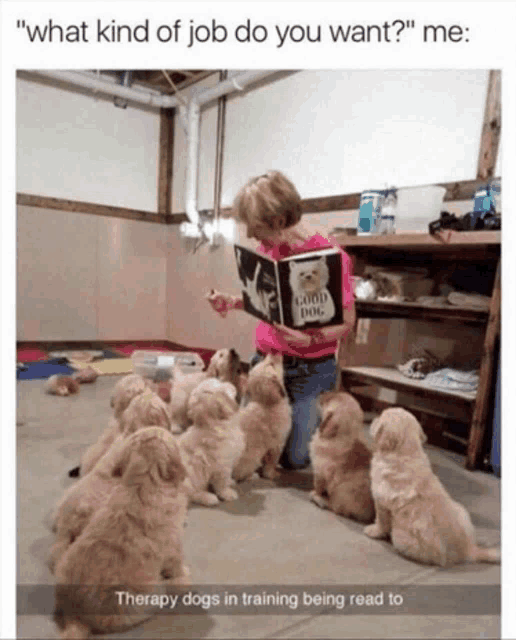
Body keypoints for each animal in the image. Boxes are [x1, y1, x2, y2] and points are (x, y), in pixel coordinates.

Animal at [53, 424, 189, 640]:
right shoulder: (174, 543)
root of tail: (77, 617)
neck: (143, 483)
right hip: (146, 598)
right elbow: (176, 564)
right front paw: (183, 575)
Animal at [178, 378, 245, 508]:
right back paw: (208, 498)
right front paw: (228, 493)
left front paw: (231, 482)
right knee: (191, 494)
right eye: (218, 383)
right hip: (189, 479)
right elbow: (222, 483)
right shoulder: (222, 466)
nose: (232, 385)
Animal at [232, 352, 292, 482]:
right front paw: (272, 474)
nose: (273, 351)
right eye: (271, 364)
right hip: (252, 457)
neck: (266, 402)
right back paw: (252, 476)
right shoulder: (277, 444)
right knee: (238, 475)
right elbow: (271, 463)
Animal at [308, 392, 372, 524]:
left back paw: (319, 499)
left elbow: (318, 486)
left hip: (340, 493)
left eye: (327, 400)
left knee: (335, 508)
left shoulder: (320, 472)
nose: (321, 392)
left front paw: (315, 493)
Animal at [362, 408, 500, 568]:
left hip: (402, 538)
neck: (406, 452)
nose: (374, 419)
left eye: (381, 417)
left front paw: (373, 531)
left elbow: (381, 520)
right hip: (462, 510)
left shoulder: (381, 501)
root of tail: (469, 551)